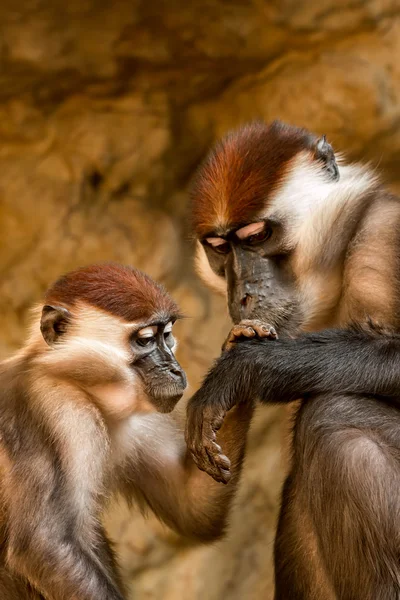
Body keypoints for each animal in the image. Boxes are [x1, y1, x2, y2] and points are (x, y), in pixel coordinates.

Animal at [0, 264, 252, 600]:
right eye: (145, 340)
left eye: (166, 336)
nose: (175, 369)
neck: (76, 382)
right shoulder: (54, 408)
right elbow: (43, 544)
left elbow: (192, 511)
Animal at [184, 119, 400, 596]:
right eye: (219, 248)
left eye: (256, 236)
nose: (243, 294)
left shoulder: (385, 237)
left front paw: (244, 369)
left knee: (335, 419)